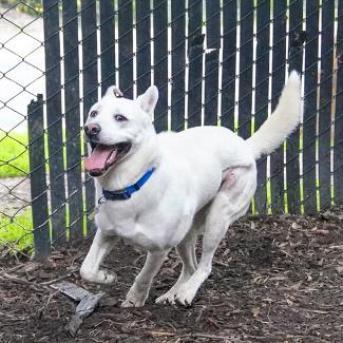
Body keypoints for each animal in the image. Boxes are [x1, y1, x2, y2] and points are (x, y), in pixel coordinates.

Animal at [80, 71, 300, 308]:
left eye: (120, 118)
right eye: (93, 113)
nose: (90, 129)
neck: (132, 185)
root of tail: (245, 145)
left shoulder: (160, 249)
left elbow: (144, 276)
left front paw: (135, 298)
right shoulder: (107, 233)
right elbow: (86, 269)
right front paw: (105, 277)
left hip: (218, 217)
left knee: (204, 266)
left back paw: (187, 292)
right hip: (187, 233)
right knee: (191, 267)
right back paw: (172, 293)